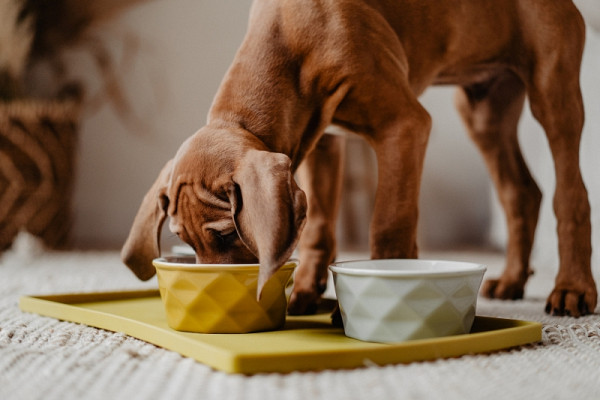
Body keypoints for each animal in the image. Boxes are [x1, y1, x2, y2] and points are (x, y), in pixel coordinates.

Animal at [120, 0, 596, 318]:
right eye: (184, 239)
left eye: (224, 235)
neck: (290, 38)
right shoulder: (322, 141)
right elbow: (318, 228)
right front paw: (305, 293)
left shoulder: (404, 125)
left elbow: (388, 224)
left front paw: (389, 287)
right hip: (482, 111)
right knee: (521, 193)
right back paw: (513, 279)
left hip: (553, 92)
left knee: (570, 196)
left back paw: (572, 289)